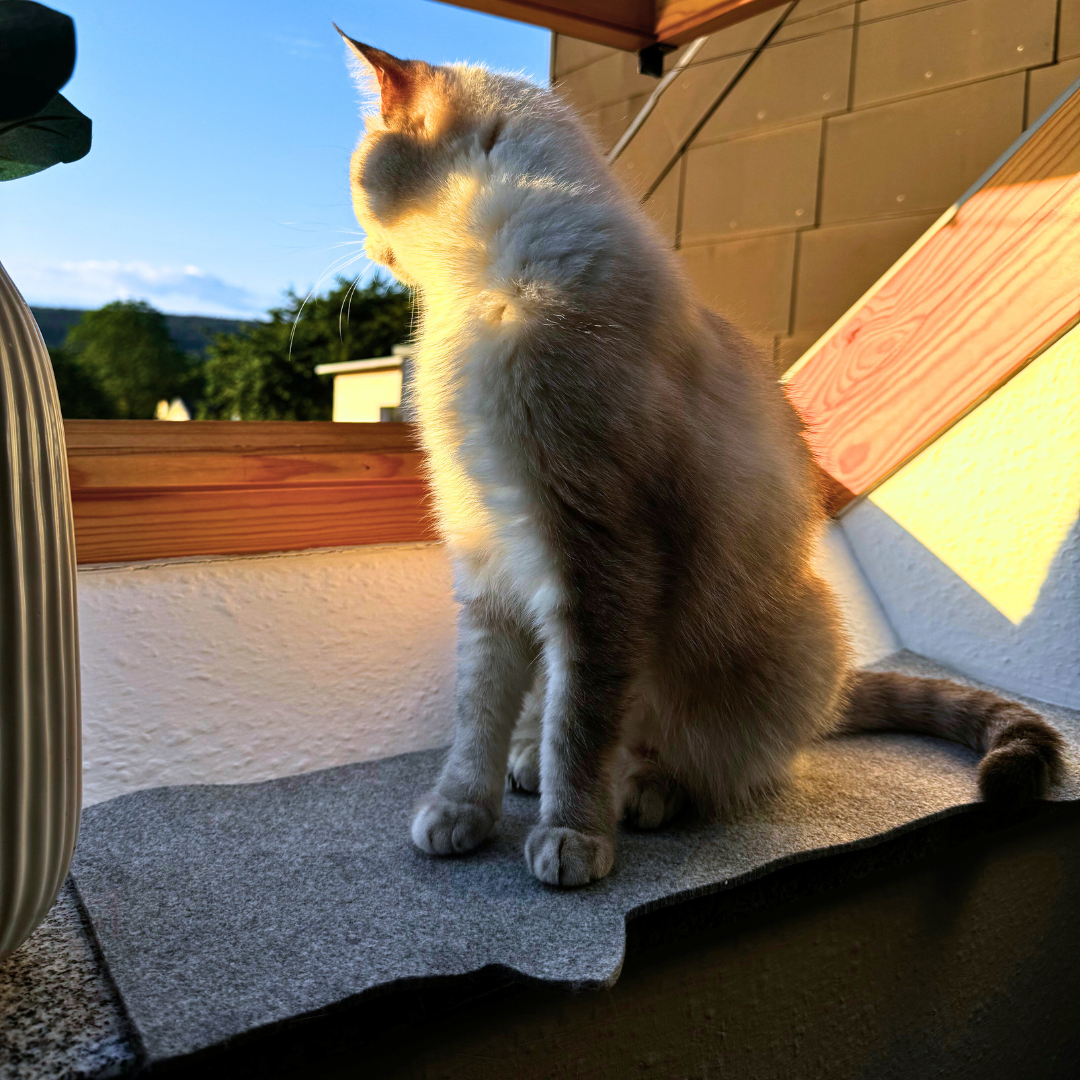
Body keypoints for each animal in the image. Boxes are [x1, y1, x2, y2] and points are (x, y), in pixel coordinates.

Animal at [334, 31, 1062, 885]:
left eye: (357, 173)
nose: (363, 243)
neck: (477, 298)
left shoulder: (598, 555)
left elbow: (582, 722)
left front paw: (571, 837)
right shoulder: (487, 551)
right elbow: (480, 711)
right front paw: (461, 812)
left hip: (781, 635)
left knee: (711, 758)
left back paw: (646, 790)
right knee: (548, 718)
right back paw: (528, 766)